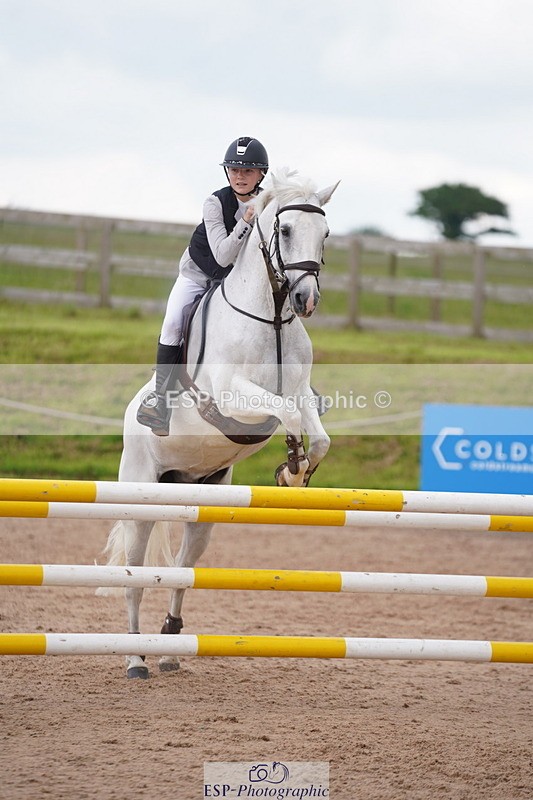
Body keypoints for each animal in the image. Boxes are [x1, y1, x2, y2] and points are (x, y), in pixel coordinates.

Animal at [100, 168, 339, 678]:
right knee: (133, 578)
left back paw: (170, 645)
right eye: (286, 231)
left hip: (203, 501)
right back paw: (135, 658)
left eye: (325, 233)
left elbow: (317, 433)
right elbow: (285, 413)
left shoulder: (300, 389)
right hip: (140, 497)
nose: (306, 300)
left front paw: (295, 473)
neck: (272, 317)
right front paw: (291, 467)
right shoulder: (232, 397)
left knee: (182, 568)